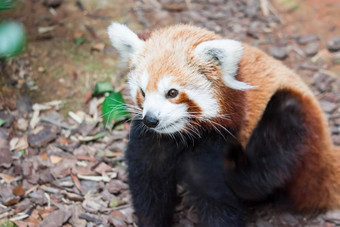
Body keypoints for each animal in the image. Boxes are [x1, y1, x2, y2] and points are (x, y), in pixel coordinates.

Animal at [107, 23, 340, 227]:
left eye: (172, 93)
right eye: (142, 92)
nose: (151, 120)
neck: (182, 137)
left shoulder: (215, 144)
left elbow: (218, 201)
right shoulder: (152, 141)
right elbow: (148, 188)